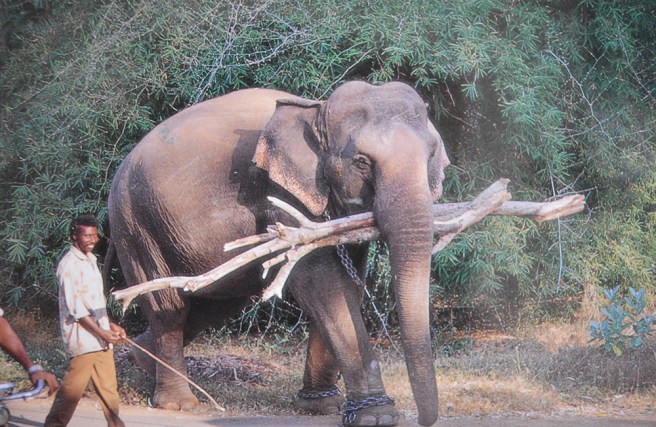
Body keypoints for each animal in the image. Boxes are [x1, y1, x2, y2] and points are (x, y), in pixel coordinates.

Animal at [105, 81, 450, 427]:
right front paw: (376, 416)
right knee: (169, 307)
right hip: (136, 225)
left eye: (431, 156)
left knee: (214, 302)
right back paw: (179, 403)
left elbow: (348, 284)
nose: (425, 420)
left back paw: (141, 359)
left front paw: (322, 406)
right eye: (362, 162)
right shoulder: (280, 196)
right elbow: (324, 285)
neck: (316, 110)